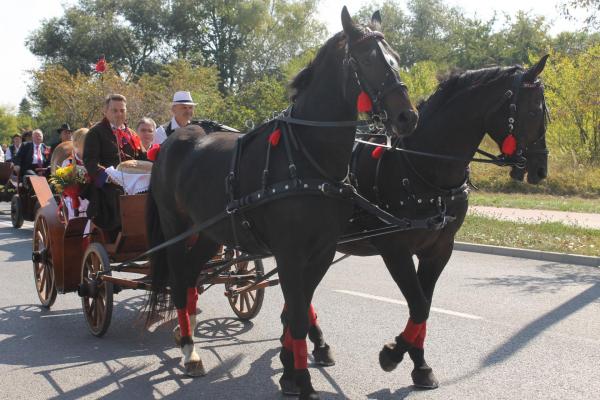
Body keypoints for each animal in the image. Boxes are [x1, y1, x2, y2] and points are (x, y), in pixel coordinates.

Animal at [146, 7, 418, 400]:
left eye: (395, 58)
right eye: (368, 59)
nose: (407, 117)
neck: (307, 157)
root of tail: (173, 139)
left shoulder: (321, 252)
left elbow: (297, 311)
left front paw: (290, 370)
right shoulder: (290, 252)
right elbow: (299, 314)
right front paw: (302, 381)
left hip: (210, 232)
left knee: (192, 275)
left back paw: (189, 335)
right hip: (176, 227)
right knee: (181, 277)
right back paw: (188, 349)